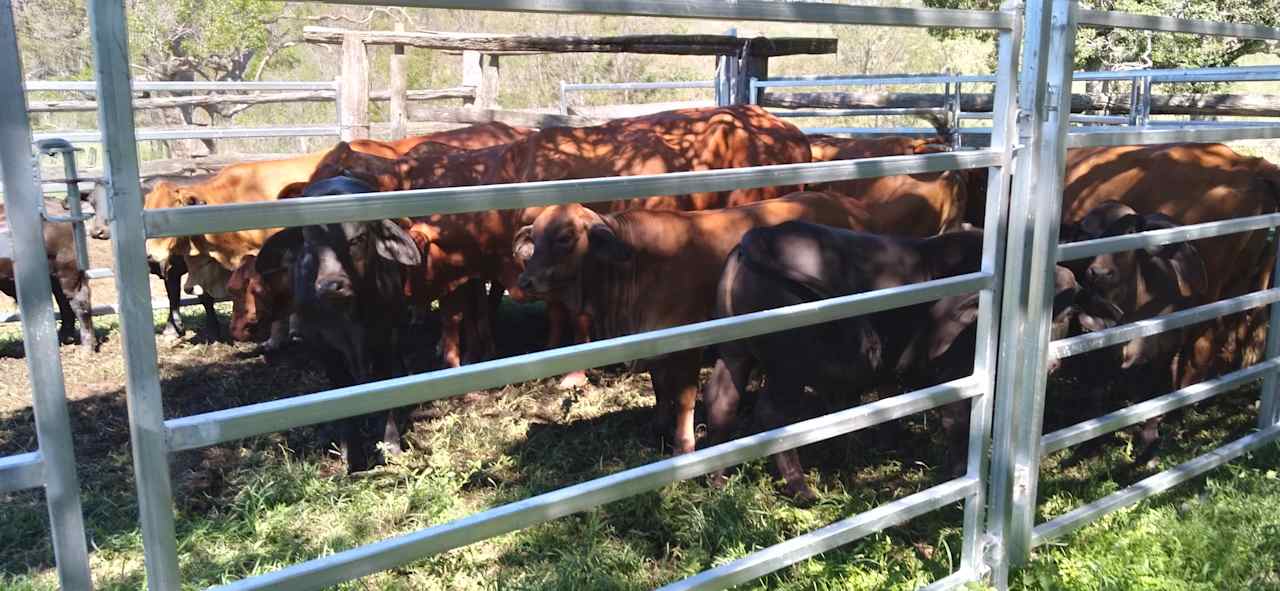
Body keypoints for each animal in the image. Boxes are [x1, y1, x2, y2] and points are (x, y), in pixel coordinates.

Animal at [257, 173, 422, 470]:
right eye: (308, 242)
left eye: (359, 238)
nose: (330, 286)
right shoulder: (324, 347)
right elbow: (341, 393)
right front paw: (352, 452)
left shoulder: (385, 336)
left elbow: (386, 385)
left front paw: (390, 444)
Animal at [509, 191, 870, 455]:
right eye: (535, 238)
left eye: (565, 237)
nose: (525, 281)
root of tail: (846, 203)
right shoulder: (654, 341)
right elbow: (660, 388)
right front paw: (657, 428)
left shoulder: (687, 346)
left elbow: (682, 397)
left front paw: (683, 446)